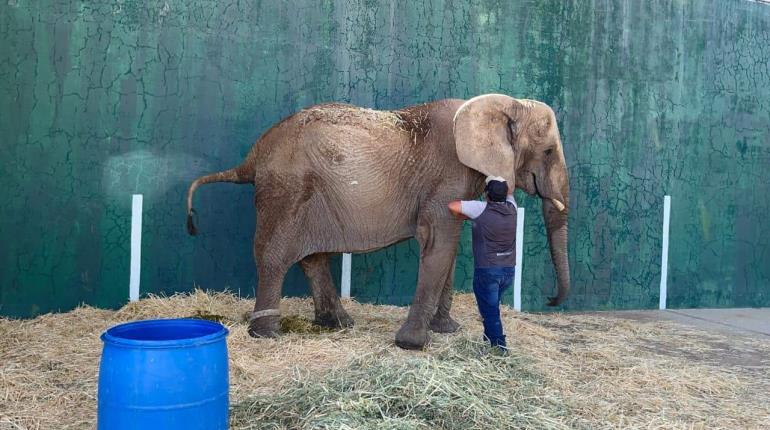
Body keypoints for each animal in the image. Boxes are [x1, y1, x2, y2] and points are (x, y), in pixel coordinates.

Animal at [186, 93, 568, 350]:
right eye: (549, 151)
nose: (551, 300)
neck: (500, 103)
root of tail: (251, 158)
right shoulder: (446, 175)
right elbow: (438, 242)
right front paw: (412, 344)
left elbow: (448, 247)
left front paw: (447, 330)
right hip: (286, 190)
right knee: (274, 256)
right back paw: (266, 334)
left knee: (312, 257)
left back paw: (337, 323)